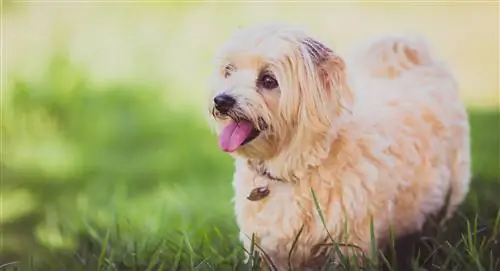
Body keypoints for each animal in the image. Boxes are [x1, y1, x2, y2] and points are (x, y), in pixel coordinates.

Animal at [205, 22, 470, 270]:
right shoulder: (268, 249)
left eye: (268, 80)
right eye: (229, 71)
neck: (297, 167)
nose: (222, 100)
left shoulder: (349, 245)